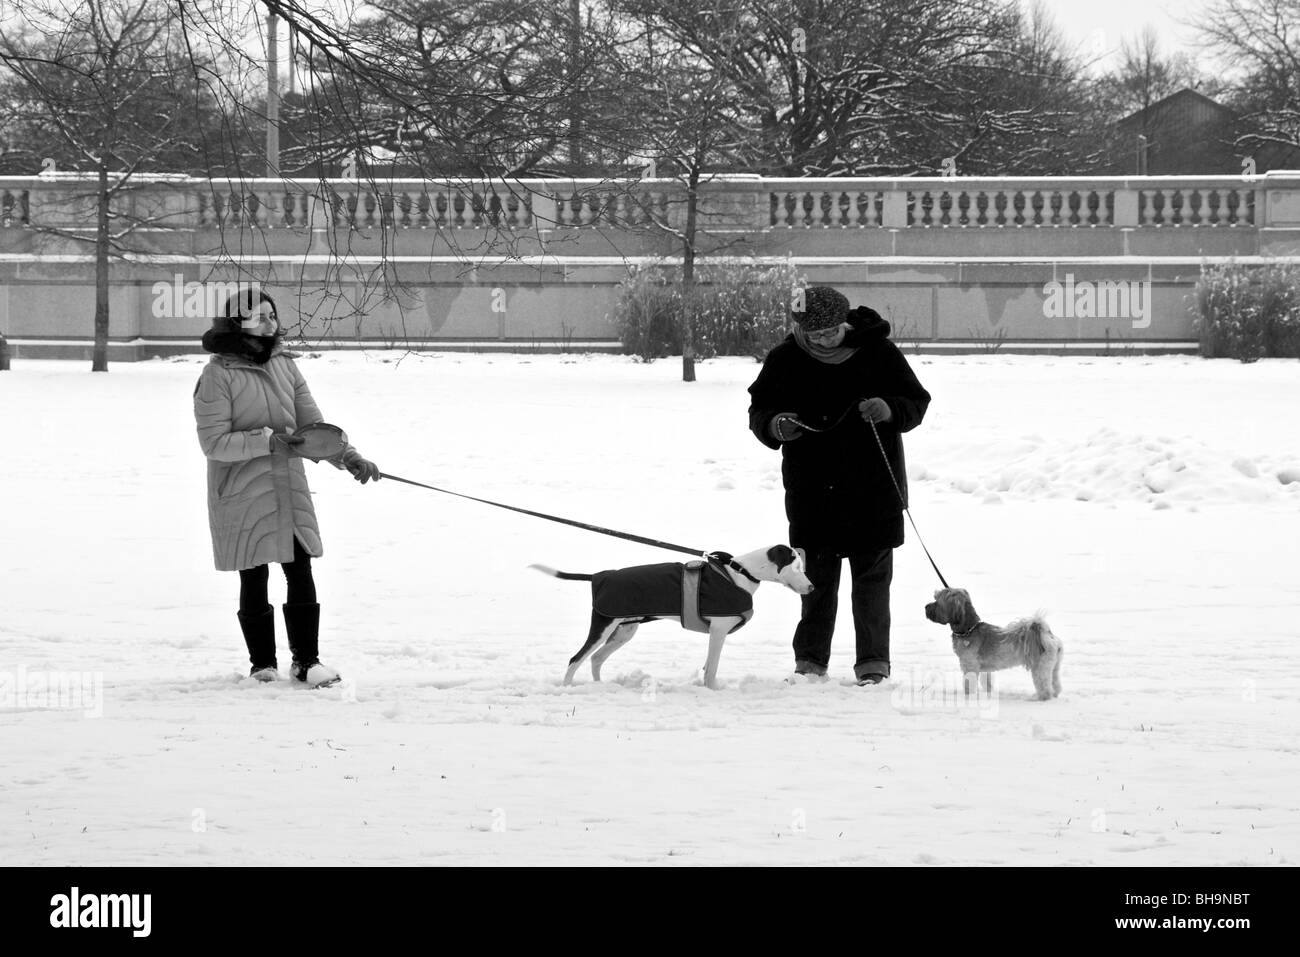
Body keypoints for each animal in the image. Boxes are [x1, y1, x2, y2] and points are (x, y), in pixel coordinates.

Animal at [533, 546, 806, 686]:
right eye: (797, 568)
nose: (812, 587)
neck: (740, 573)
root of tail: (598, 576)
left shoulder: (716, 633)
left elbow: (707, 665)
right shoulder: (718, 630)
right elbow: (711, 669)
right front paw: (712, 690)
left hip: (624, 631)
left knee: (596, 659)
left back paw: (599, 686)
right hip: (603, 627)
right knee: (575, 659)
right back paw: (568, 688)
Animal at [920, 587, 1060, 696]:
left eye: (937, 601)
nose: (925, 606)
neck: (969, 630)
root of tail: (1047, 634)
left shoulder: (969, 664)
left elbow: (969, 684)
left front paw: (968, 697)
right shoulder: (985, 669)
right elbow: (986, 682)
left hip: (1040, 667)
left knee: (1044, 687)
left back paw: (1040, 697)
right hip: (1053, 666)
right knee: (1056, 682)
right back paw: (1055, 693)